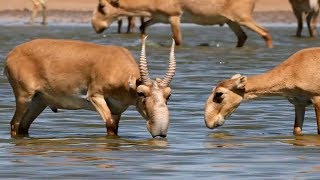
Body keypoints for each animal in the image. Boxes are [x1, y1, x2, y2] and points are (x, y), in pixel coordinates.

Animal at [3, 37, 178, 137]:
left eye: (168, 94)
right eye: (141, 93)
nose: (160, 130)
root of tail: (11, 55)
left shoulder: (117, 110)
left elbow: (115, 128)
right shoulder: (95, 96)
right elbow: (110, 126)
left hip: (39, 102)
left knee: (23, 126)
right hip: (24, 98)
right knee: (14, 124)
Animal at [92, 0, 272, 48]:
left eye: (101, 6)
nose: (95, 26)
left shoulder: (174, 17)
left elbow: (177, 40)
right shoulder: (158, 18)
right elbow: (143, 27)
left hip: (243, 18)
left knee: (265, 33)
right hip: (231, 22)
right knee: (242, 37)